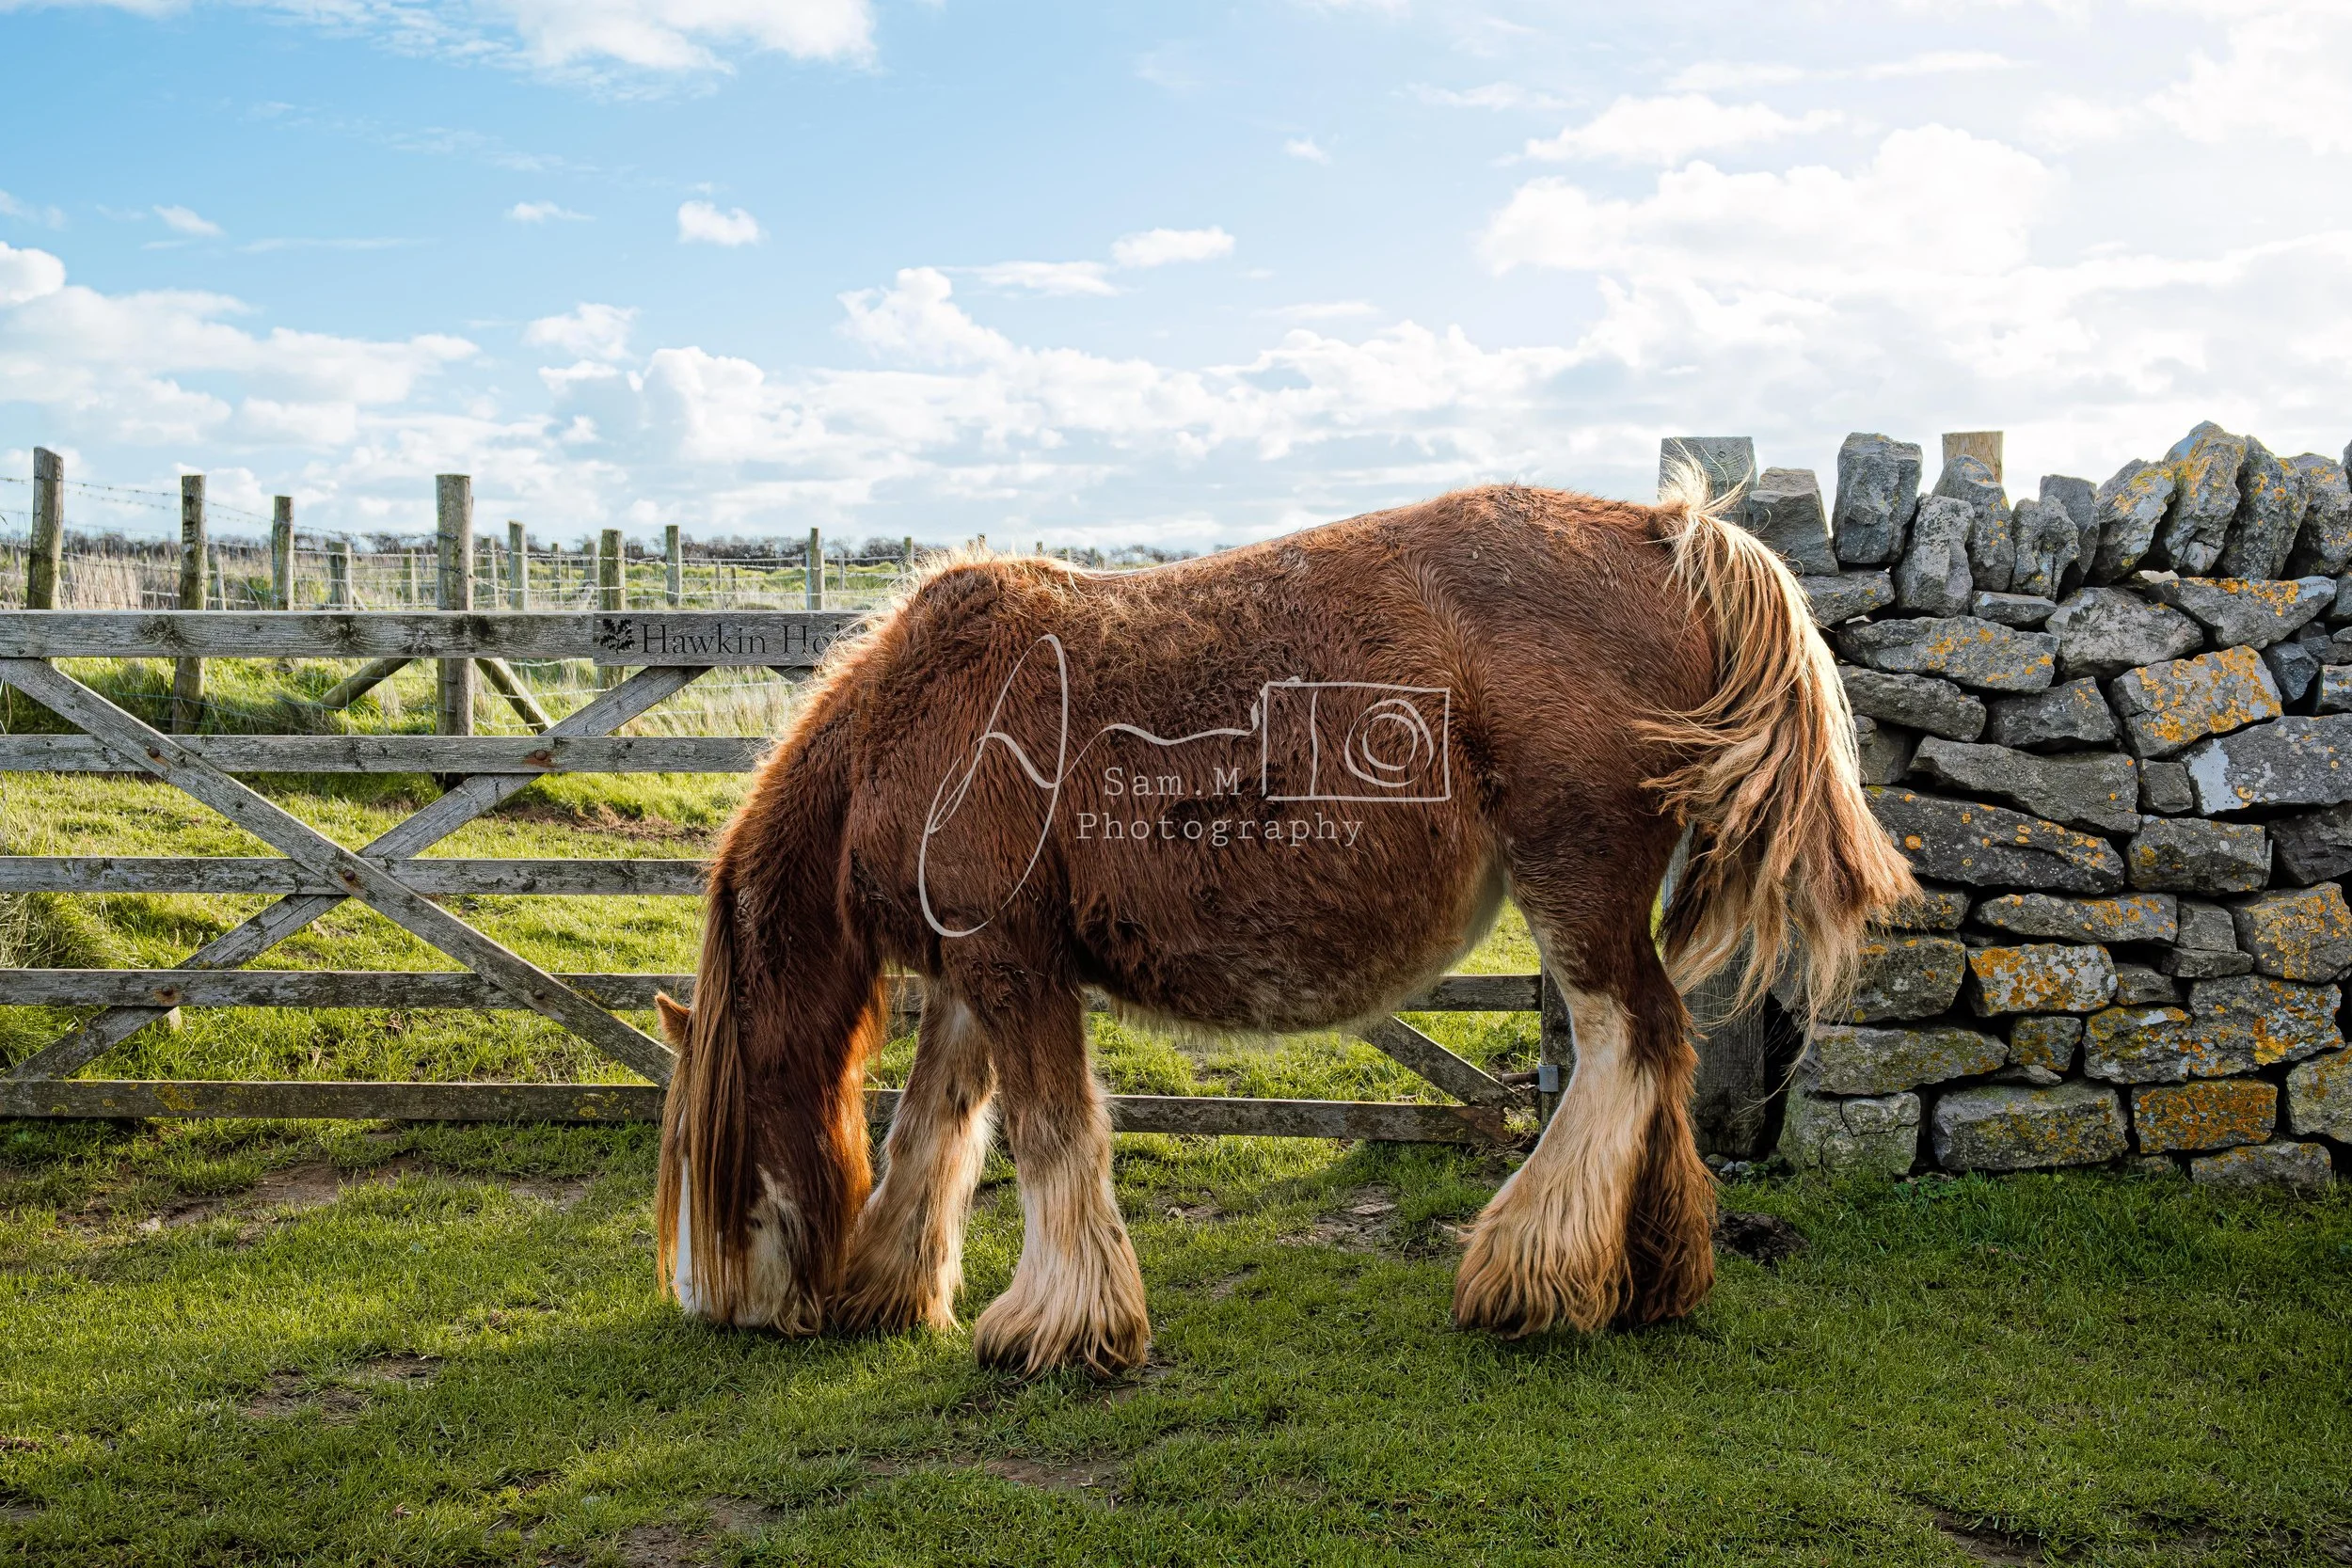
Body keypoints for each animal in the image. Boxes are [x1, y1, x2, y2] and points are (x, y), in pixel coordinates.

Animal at [650, 472, 1916, 1376]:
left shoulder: (1015, 970)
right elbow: (934, 1130)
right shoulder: (973, 972)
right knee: (1660, 1055)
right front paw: (888, 1288)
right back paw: (1650, 1278)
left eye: (718, 1142)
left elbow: (1053, 1132)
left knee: (1629, 1042)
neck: (916, 720)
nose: (714, 1306)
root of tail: (1667, 532)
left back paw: (1526, 1275)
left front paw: (1058, 1327)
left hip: (1579, 888)